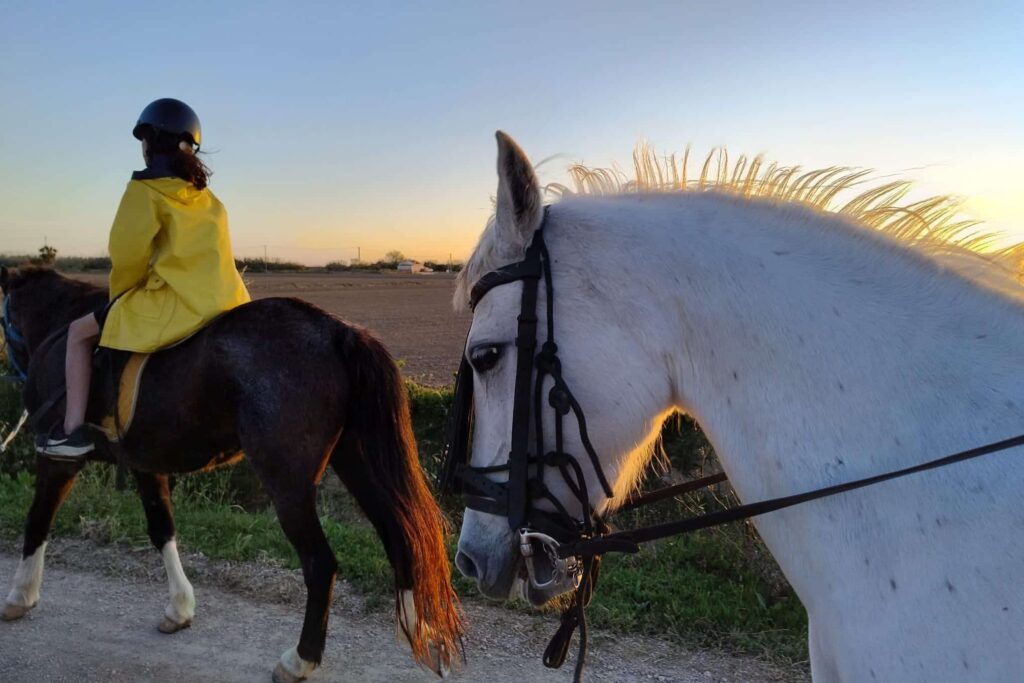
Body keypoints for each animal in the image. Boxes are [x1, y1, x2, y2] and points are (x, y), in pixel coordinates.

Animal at [0, 266, 463, 682]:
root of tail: (338, 330)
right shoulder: (147, 465)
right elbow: (162, 529)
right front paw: (179, 609)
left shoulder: (58, 460)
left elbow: (37, 522)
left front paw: (20, 596)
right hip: (354, 461)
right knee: (401, 534)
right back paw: (420, 634)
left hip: (289, 485)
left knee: (321, 564)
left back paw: (300, 660)